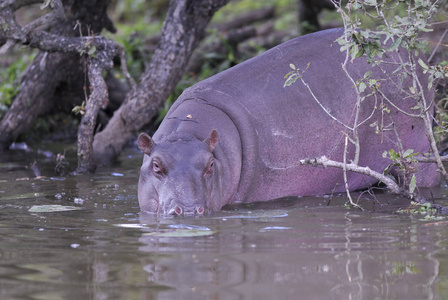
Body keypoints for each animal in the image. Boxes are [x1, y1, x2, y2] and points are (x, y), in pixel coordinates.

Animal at [136, 28, 438, 214]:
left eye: (210, 165)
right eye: (156, 165)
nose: (188, 209)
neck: (186, 134)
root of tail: (415, 55)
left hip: (416, 152)